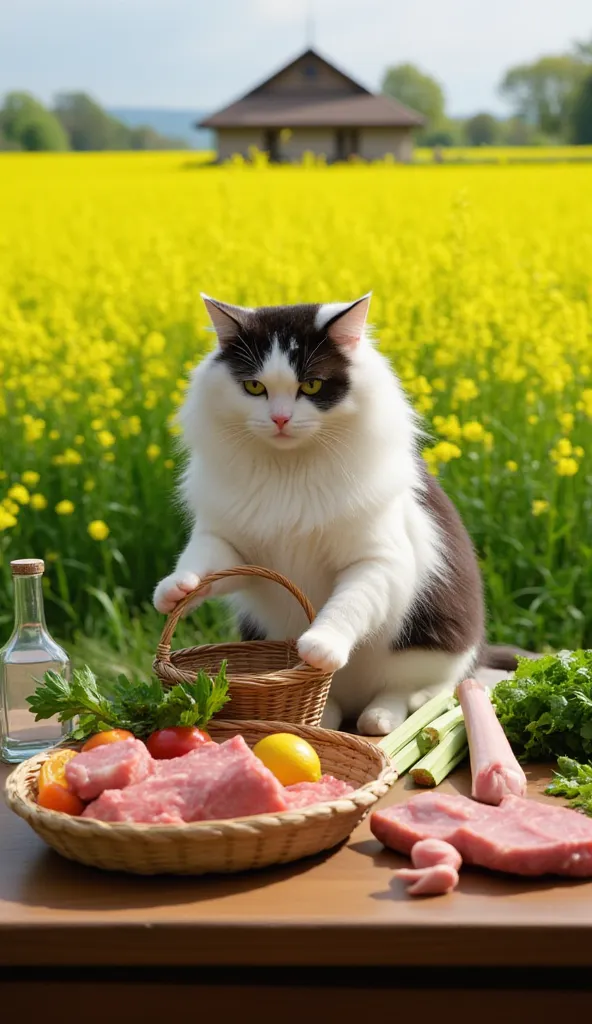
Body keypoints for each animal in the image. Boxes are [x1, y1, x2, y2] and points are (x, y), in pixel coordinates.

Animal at [151, 296, 501, 737]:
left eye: (312, 385)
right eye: (254, 387)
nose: (280, 419)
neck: (290, 472)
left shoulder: (377, 561)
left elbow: (346, 605)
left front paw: (319, 646)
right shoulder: (232, 546)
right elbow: (200, 563)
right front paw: (174, 591)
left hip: (432, 653)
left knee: (415, 694)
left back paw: (380, 719)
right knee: (335, 705)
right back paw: (327, 715)